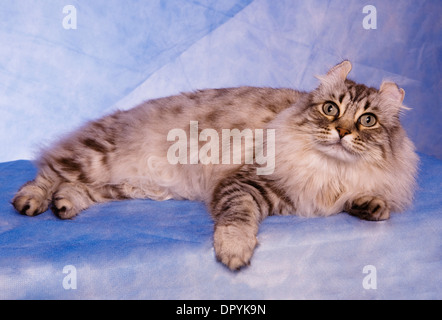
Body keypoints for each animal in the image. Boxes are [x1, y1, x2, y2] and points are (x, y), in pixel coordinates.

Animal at [11, 60, 418, 270]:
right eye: (331, 109)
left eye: (367, 120)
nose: (342, 131)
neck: (332, 170)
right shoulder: (246, 183)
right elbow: (237, 219)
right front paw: (234, 252)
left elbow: (366, 202)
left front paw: (370, 206)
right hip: (94, 156)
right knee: (49, 171)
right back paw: (31, 201)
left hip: (126, 185)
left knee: (77, 188)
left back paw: (65, 205)